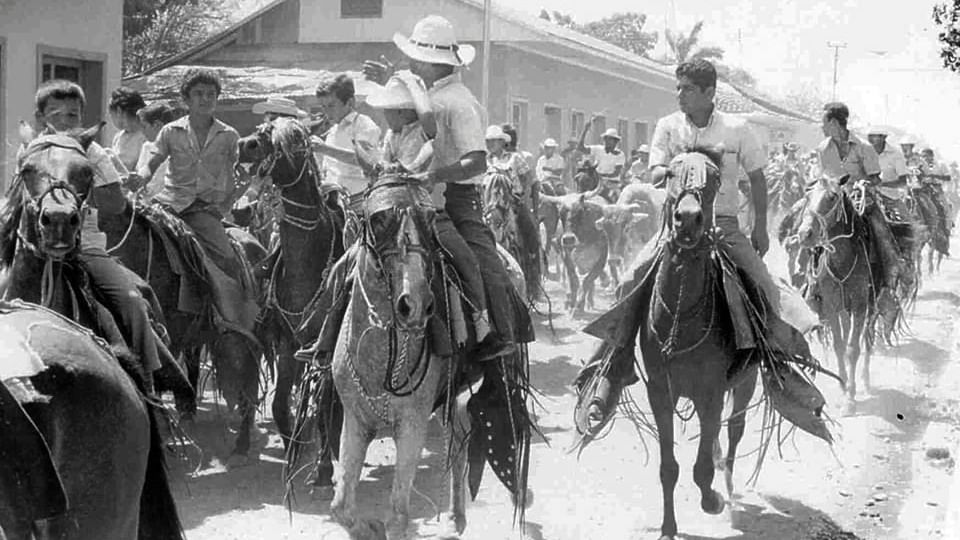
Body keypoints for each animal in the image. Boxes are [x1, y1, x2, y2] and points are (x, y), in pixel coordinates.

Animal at [236, 117, 344, 480]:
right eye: (260, 130)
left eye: (294, 140)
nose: (246, 144)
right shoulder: (286, 340)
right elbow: (280, 401)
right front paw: (292, 450)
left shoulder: (324, 345)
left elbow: (324, 402)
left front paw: (323, 468)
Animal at [632, 149, 760, 540]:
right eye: (671, 173)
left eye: (716, 177)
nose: (687, 219)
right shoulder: (660, 391)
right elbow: (669, 467)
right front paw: (668, 527)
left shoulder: (711, 392)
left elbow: (701, 467)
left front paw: (713, 500)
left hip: (747, 382)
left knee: (733, 429)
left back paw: (729, 486)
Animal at [796, 175, 876, 412]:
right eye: (807, 196)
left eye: (832, 197)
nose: (805, 234)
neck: (843, 260)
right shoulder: (831, 306)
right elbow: (839, 346)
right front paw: (842, 386)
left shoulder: (860, 305)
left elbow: (853, 348)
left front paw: (850, 397)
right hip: (842, 309)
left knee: (869, 338)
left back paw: (865, 380)